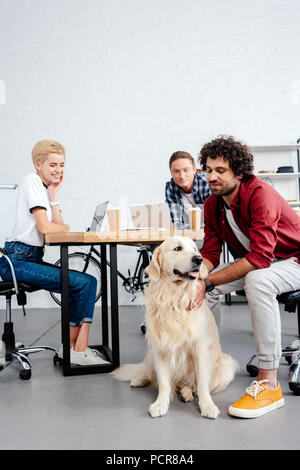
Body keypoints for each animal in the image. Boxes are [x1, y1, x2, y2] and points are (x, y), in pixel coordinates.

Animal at [111, 237, 238, 420]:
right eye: (178, 248)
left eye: (195, 250)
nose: (198, 259)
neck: (175, 297)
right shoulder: (160, 347)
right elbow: (164, 382)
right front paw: (160, 404)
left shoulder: (199, 347)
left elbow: (201, 383)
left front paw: (207, 405)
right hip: (151, 355)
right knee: (149, 373)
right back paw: (140, 379)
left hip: (227, 364)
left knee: (189, 383)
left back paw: (186, 392)